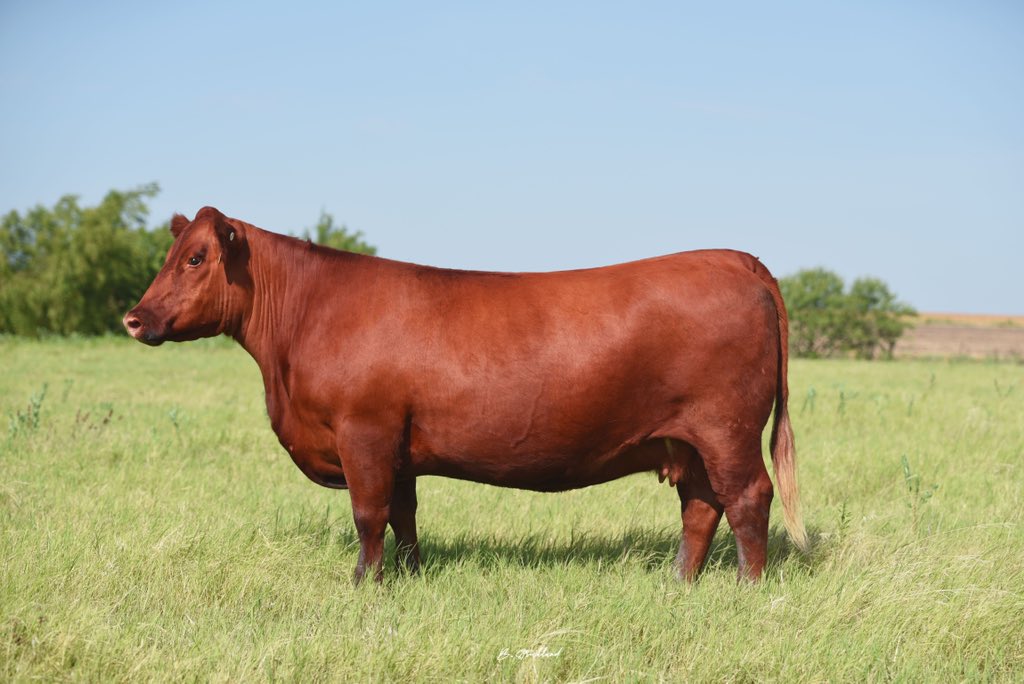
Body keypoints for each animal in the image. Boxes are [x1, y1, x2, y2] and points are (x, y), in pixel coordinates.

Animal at [124, 206, 808, 583]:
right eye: (174, 253)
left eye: (196, 258)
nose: (134, 318)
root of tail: (734, 258)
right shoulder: (396, 445)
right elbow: (402, 515)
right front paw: (408, 576)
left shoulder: (364, 431)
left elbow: (368, 514)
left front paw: (361, 585)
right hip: (687, 440)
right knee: (701, 506)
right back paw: (678, 583)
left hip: (726, 429)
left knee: (748, 498)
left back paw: (747, 589)